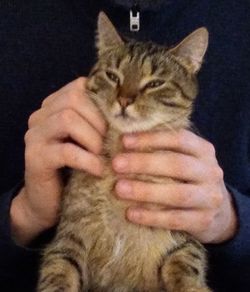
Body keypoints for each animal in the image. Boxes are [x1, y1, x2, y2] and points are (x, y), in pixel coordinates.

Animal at [38, 11, 211, 292]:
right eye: (112, 76)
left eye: (155, 83)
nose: (124, 100)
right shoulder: (68, 237)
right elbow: (57, 274)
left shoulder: (185, 236)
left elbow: (185, 267)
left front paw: (193, 286)